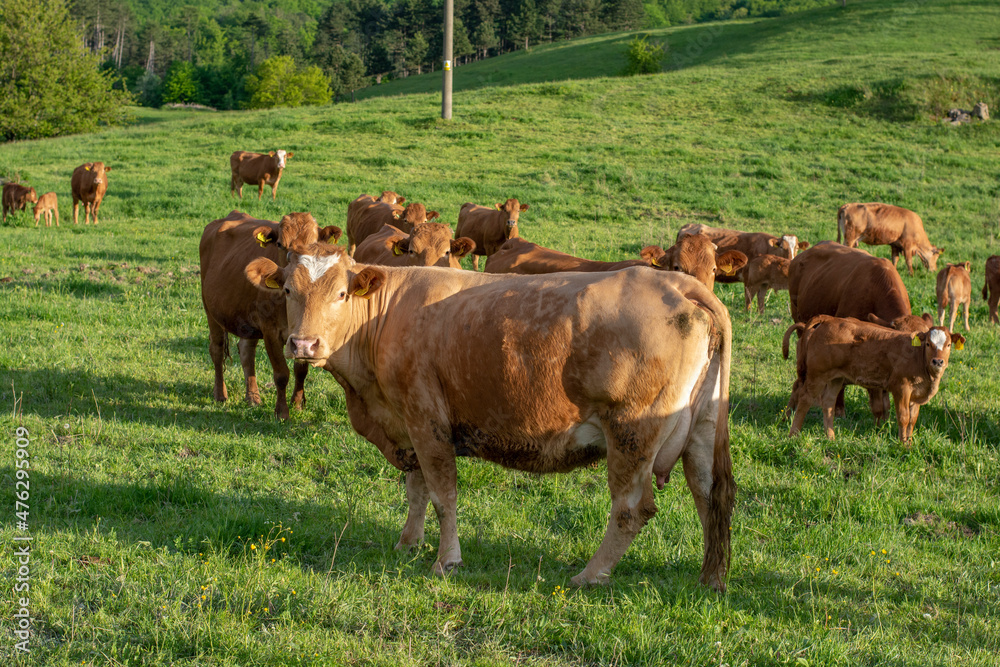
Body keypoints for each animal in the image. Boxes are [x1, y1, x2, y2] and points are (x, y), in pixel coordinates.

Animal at [199, 210, 340, 419]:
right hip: (211, 311)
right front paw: (282, 412)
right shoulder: (270, 332)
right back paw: (220, 394)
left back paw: (253, 397)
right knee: (216, 350)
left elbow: (301, 371)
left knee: (246, 353)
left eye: (314, 245)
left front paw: (297, 404)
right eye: (280, 244)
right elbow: (281, 374)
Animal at [245, 246, 736, 591]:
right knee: (711, 495)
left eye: (342, 293)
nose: (303, 344)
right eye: (287, 291)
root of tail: (679, 284)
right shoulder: (408, 425)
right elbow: (416, 490)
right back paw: (711, 578)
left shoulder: (427, 422)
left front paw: (446, 560)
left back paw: (590, 575)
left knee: (632, 509)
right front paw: (407, 543)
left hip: (631, 434)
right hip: (701, 430)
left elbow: (442, 495)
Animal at [786, 315, 963, 442]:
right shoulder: (901, 388)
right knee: (804, 399)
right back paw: (793, 435)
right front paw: (903, 445)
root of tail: (829, 319)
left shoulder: (916, 395)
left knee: (828, 403)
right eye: (927, 344)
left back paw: (831, 438)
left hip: (836, 378)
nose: (938, 361)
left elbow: (912, 420)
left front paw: (910, 444)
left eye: (948, 345)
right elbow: (903, 418)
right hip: (817, 376)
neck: (918, 358)